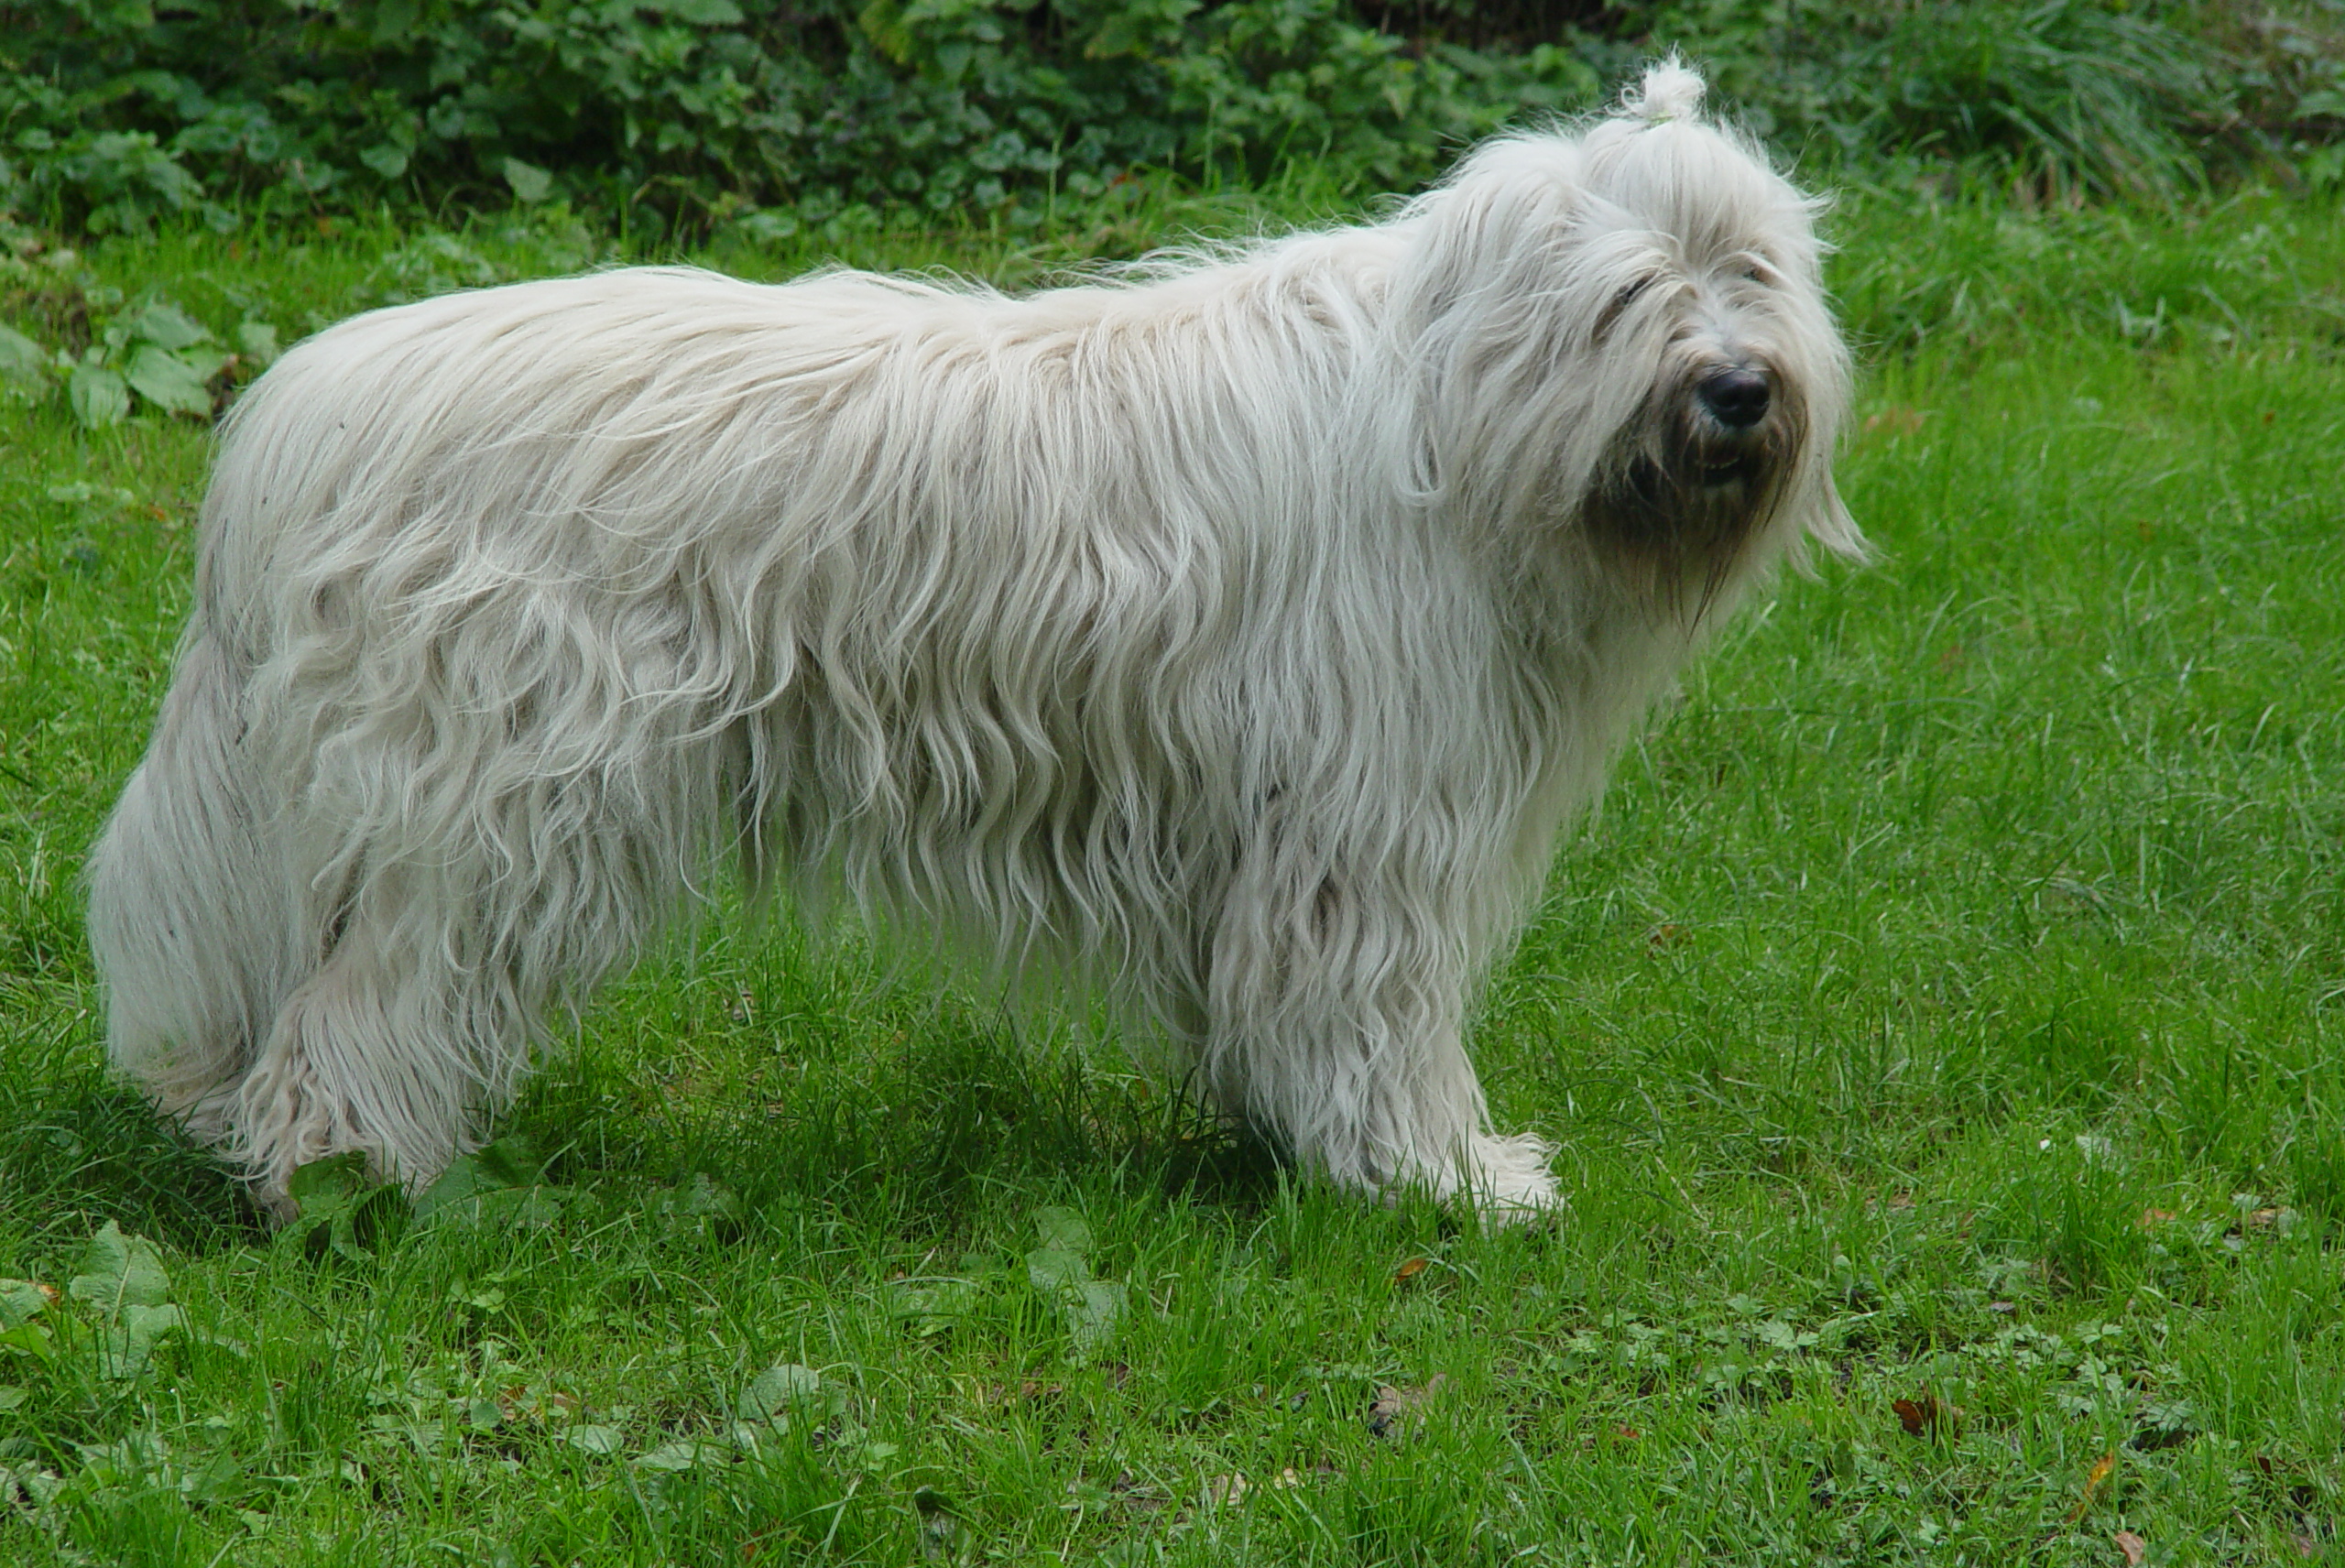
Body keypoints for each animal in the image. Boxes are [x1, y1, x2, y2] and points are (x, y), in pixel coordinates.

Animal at [82, 64, 1857, 1218]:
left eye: (1752, 273)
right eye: (1633, 294)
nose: (1736, 391)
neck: (1449, 414)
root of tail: (295, 419)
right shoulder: (1365, 825)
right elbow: (1375, 1011)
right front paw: (1443, 1180)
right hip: (494, 801)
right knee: (364, 1012)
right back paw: (357, 1189)